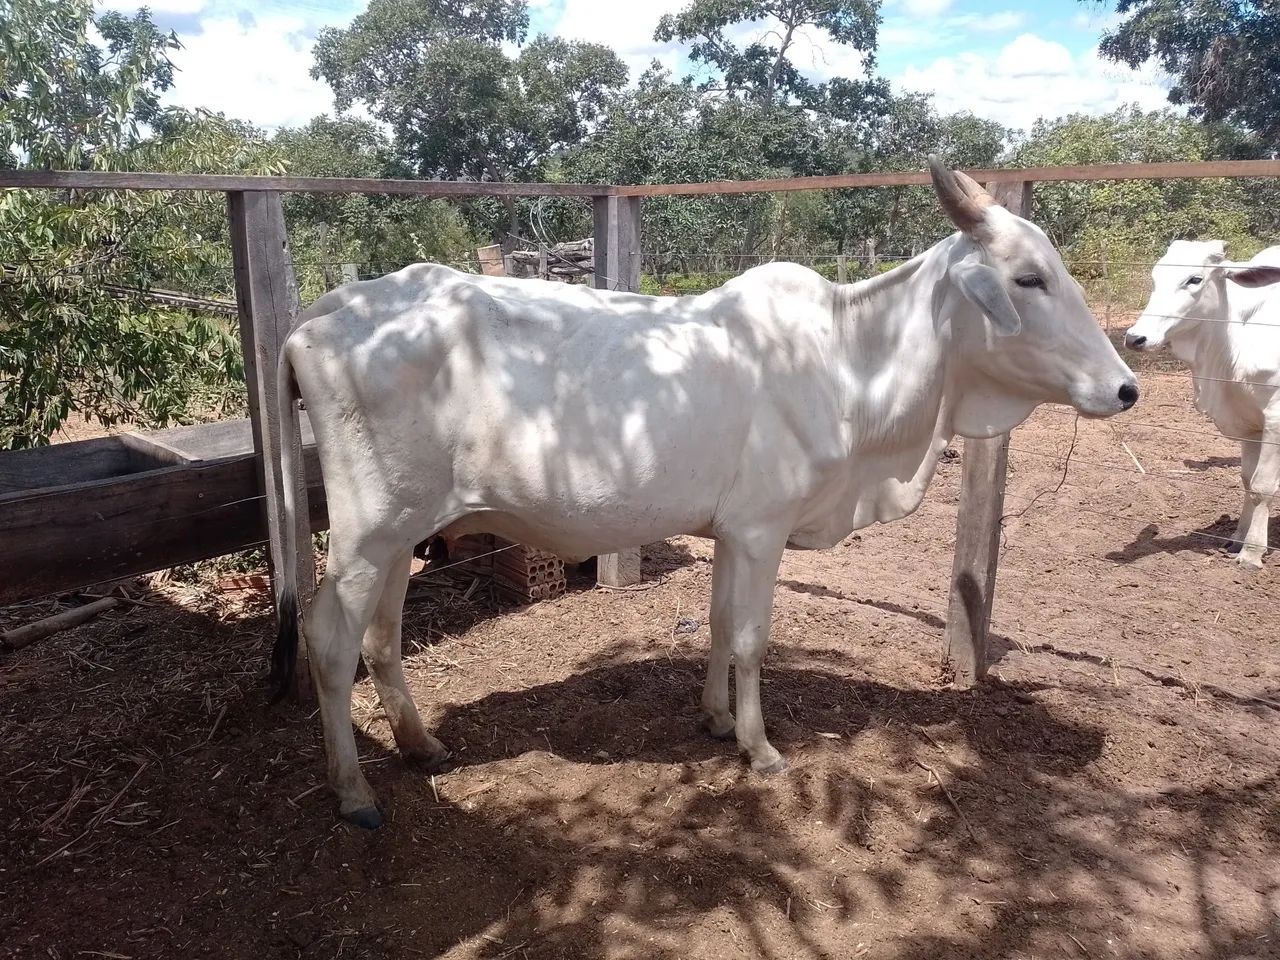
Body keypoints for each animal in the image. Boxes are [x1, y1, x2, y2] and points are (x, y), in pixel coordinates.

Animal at [271, 156, 1139, 828]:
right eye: (1028, 278)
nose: (1126, 386)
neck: (851, 362)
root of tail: (317, 314)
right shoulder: (762, 529)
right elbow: (753, 637)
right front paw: (760, 748)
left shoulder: (731, 530)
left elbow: (721, 625)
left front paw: (717, 719)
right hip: (365, 533)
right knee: (331, 639)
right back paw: (353, 791)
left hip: (399, 532)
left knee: (382, 636)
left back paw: (422, 746)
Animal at [1124, 240, 1280, 569]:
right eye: (1155, 277)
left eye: (1194, 279)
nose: (1135, 338)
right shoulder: (1250, 426)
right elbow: (1247, 481)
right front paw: (1237, 538)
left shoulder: (1275, 419)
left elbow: (1262, 487)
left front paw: (1252, 552)